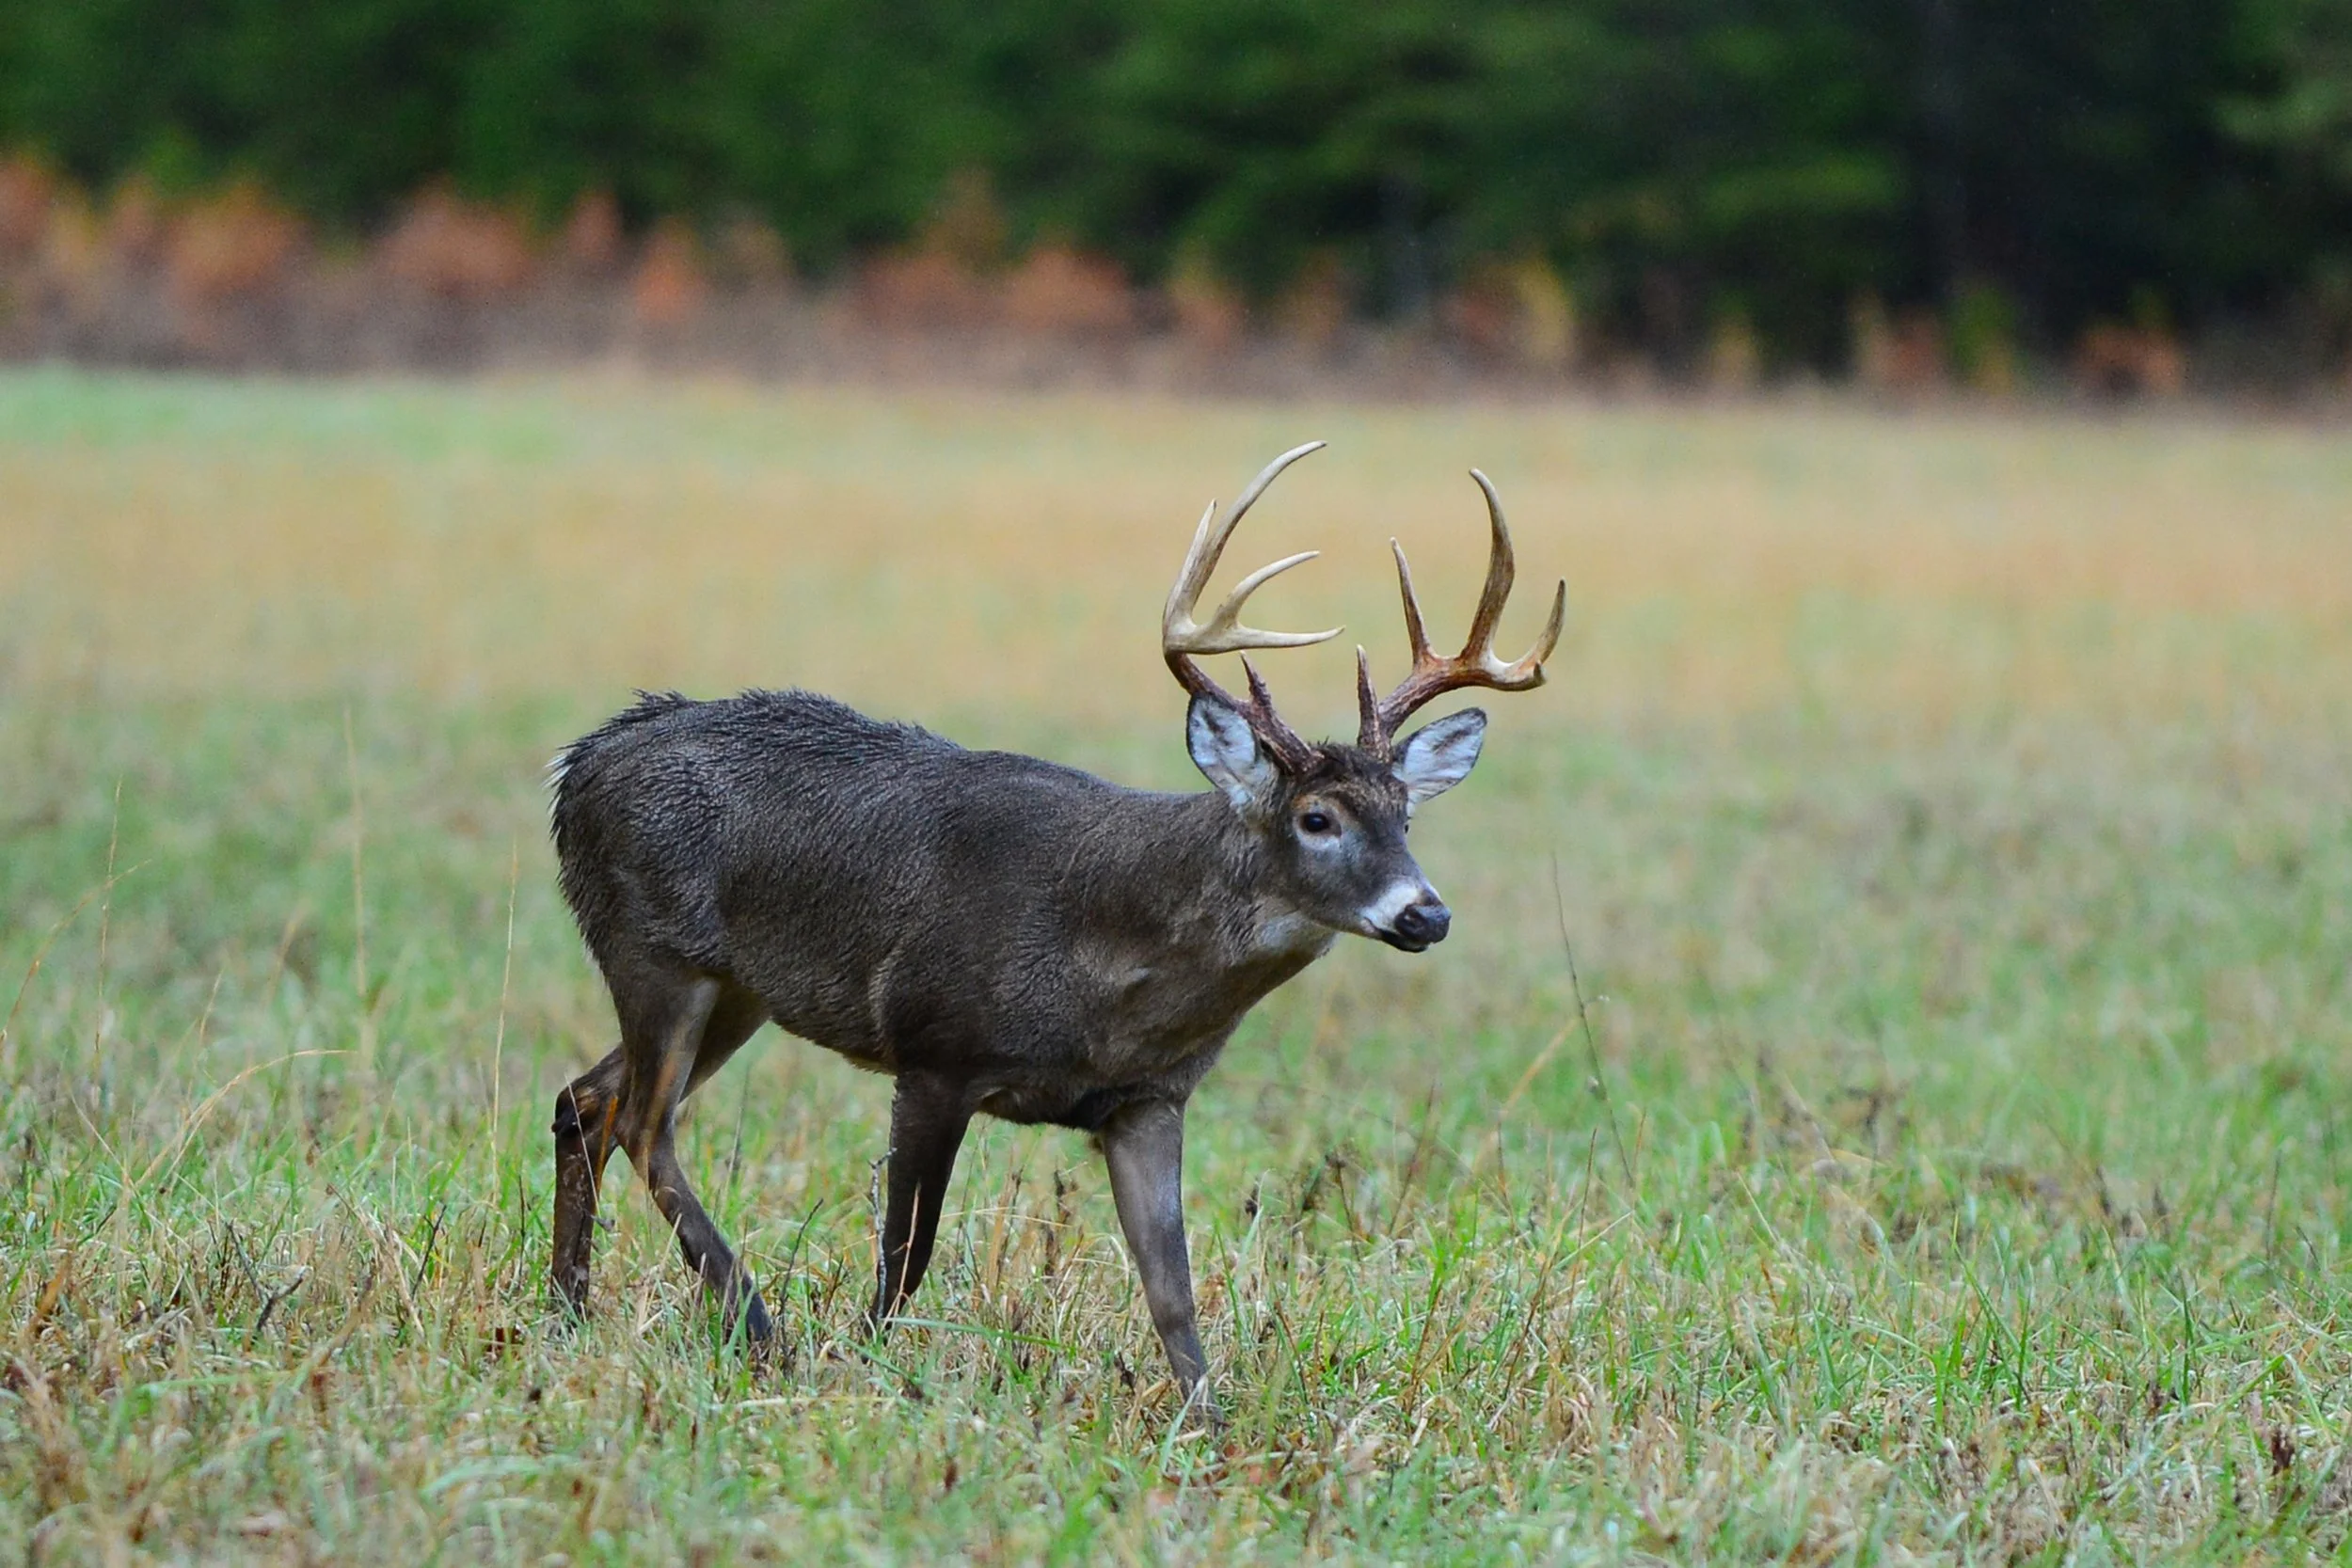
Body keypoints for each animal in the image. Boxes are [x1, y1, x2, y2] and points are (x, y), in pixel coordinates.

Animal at [545, 442, 1564, 1416]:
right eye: (1316, 817)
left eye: (1404, 814)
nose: (1424, 911)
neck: (1116, 973)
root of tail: (582, 759)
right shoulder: (935, 1047)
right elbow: (905, 1255)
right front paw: (856, 1367)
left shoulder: (1147, 1098)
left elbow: (1172, 1291)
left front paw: (1208, 1429)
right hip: (652, 948)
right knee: (646, 1123)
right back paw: (759, 1328)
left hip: (735, 988)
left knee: (586, 1100)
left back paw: (567, 1313)